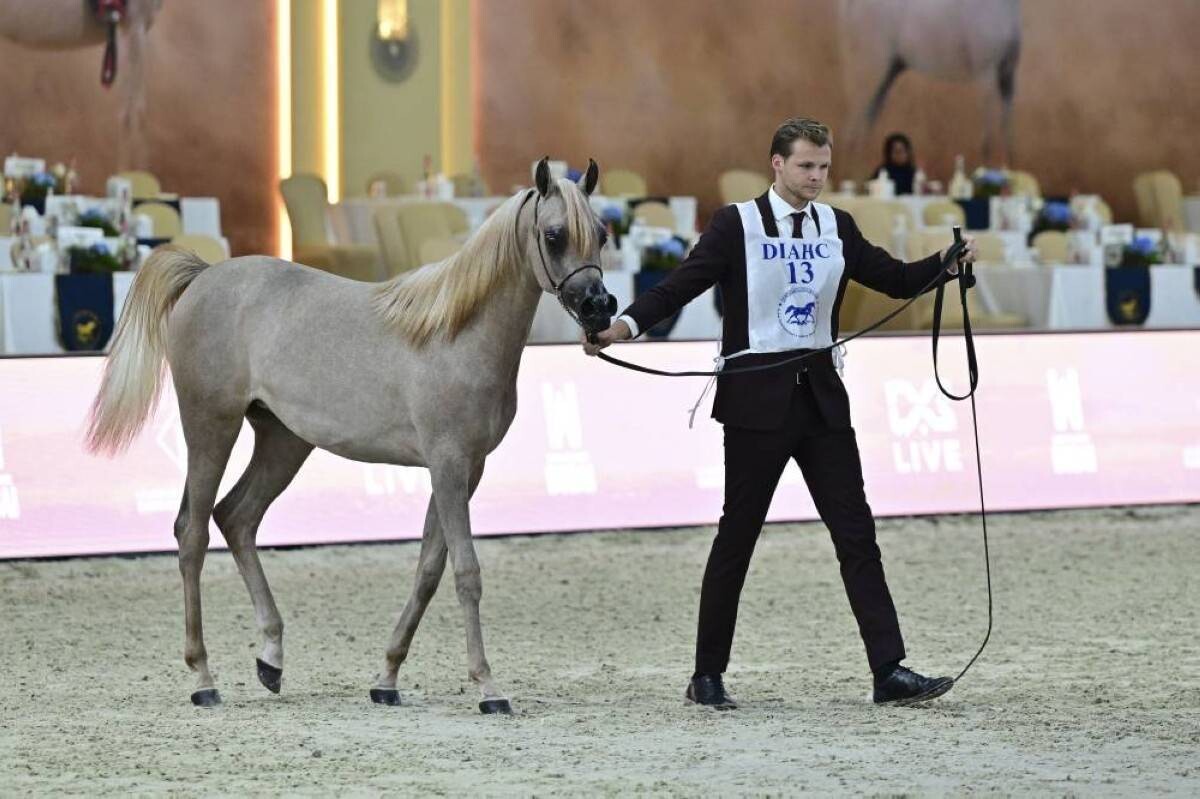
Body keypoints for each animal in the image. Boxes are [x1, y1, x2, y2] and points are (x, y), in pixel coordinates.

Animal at [85, 158, 617, 713]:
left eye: (601, 234)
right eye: (554, 235)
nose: (600, 306)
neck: (454, 334)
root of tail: (204, 275)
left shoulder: (464, 470)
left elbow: (429, 570)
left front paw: (387, 678)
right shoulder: (448, 464)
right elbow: (466, 573)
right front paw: (488, 687)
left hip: (283, 441)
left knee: (236, 518)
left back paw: (271, 658)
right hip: (211, 426)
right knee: (192, 532)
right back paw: (203, 678)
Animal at [838, 0, 1022, 169]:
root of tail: (852, 6)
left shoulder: (1008, 77)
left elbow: (1008, 135)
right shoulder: (986, 76)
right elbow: (987, 141)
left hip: (886, 76)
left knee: (865, 128)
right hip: (870, 74)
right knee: (851, 133)